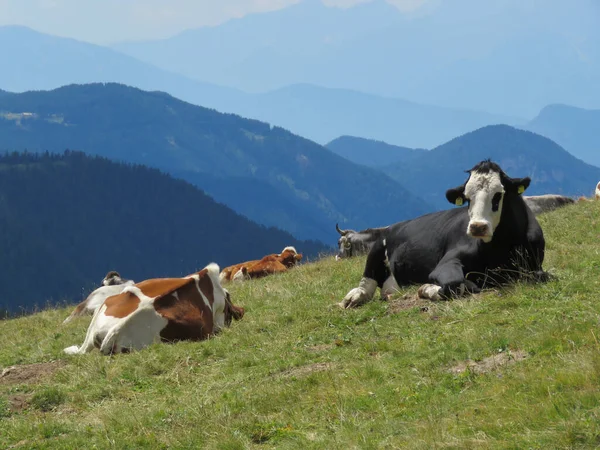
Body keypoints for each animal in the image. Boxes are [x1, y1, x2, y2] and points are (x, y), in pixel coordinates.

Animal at [340, 160, 548, 308]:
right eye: (467, 198)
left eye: (498, 194)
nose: (477, 227)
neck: (500, 249)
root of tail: (394, 225)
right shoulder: (447, 261)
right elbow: (456, 283)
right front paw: (426, 288)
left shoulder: (535, 265)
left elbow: (541, 276)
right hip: (376, 248)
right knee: (366, 283)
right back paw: (353, 298)